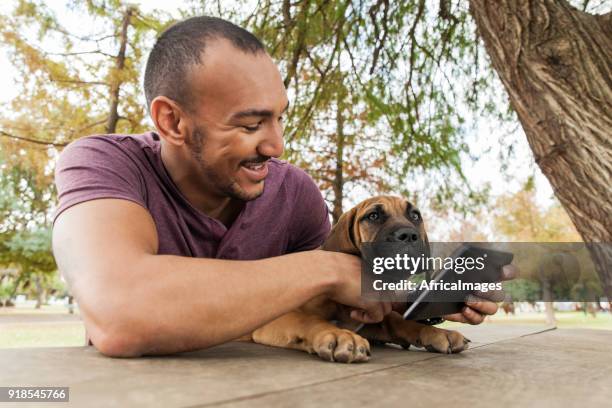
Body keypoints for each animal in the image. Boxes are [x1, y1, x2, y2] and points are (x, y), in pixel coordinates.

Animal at [249, 196, 468, 362]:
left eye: (415, 215)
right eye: (373, 216)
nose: (408, 235)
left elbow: (400, 322)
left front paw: (438, 333)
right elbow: (308, 319)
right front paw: (338, 335)